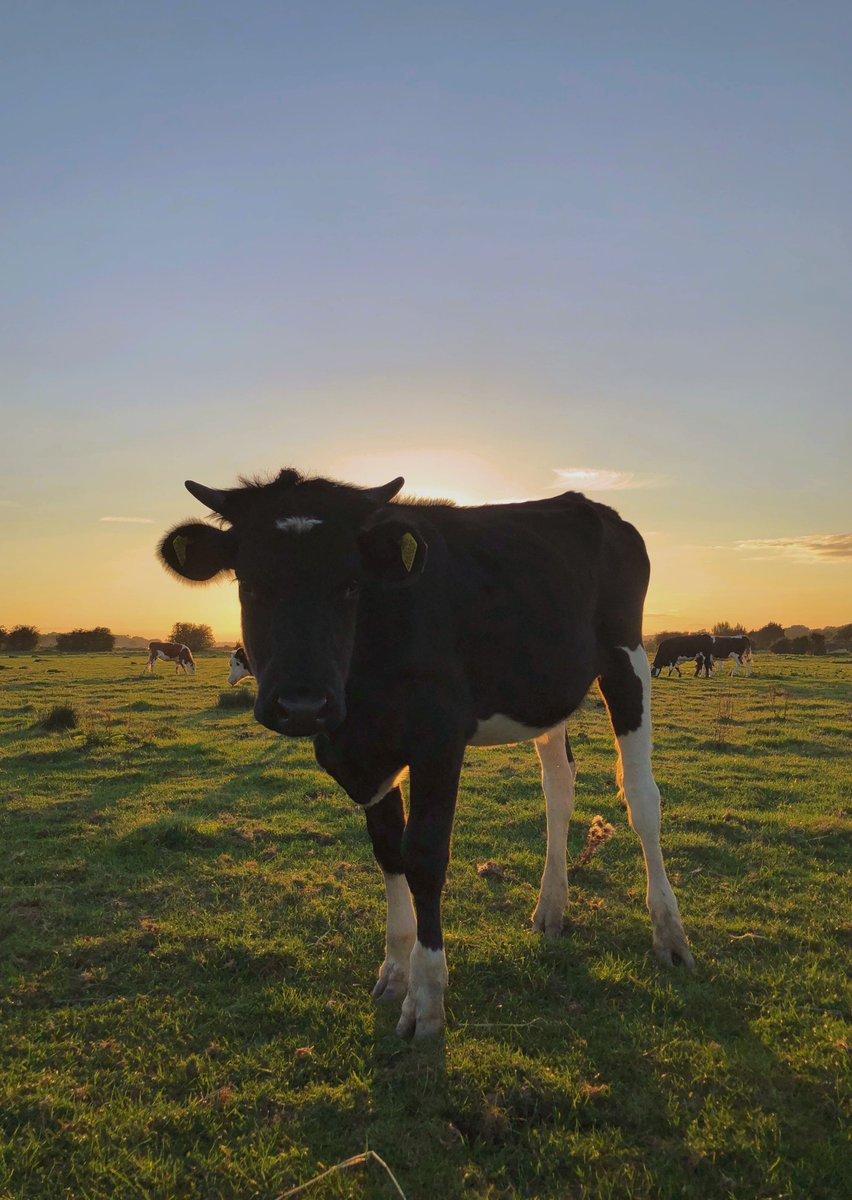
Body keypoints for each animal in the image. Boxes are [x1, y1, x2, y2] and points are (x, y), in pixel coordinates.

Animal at [158, 469, 694, 1038]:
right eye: (250, 583)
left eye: (350, 584)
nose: (302, 704)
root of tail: (589, 505)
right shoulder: (363, 755)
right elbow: (388, 850)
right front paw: (396, 970)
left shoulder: (439, 737)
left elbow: (425, 854)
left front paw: (427, 994)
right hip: (547, 694)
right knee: (559, 789)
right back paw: (550, 908)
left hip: (626, 659)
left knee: (642, 799)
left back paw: (669, 934)